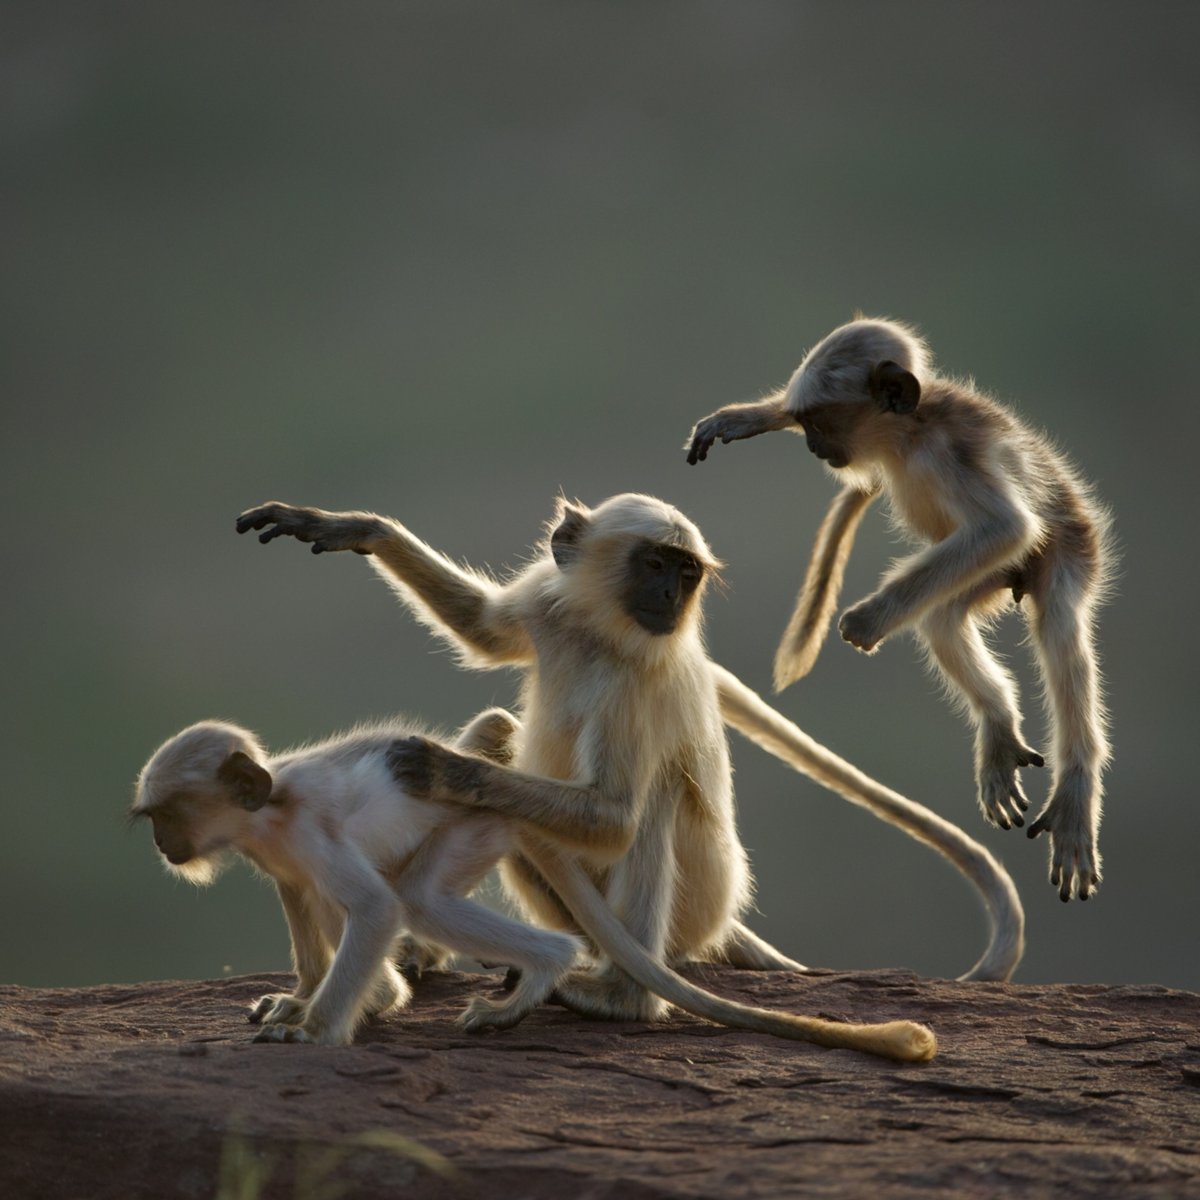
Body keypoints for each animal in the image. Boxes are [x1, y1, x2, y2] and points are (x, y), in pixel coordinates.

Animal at [134, 710, 937, 1061]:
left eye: (167, 814)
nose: (162, 844)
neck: (269, 807)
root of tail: (511, 793)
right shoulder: (277, 853)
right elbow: (303, 897)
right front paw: (306, 999)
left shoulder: (309, 833)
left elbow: (376, 908)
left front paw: (314, 1028)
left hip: (475, 829)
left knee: (417, 897)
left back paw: (541, 970)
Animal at [236, 492, 1022, 996]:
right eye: (654, 564)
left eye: (686, 571)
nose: (673, 598)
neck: (598, 636)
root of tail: (723, 921)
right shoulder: (548, 603)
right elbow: (485, 629)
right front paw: (352, 527)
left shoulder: (640, 684)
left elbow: (614, 815)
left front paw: (440, 767)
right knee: (511, 761)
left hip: (696, 904)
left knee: (656, 799)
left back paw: (622, 994)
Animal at [687, 316, 1114, 902]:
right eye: (804, 423)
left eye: (819, 422)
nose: (814, 445)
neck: (909, 433)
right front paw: (746, 418)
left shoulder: (951, 453)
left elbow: (1007, 526)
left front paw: (867, 619)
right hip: (981, 576)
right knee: (941, 619)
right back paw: (999, 725)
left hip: (1069, 547)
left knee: (1059, 631)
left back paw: (1074, 788)